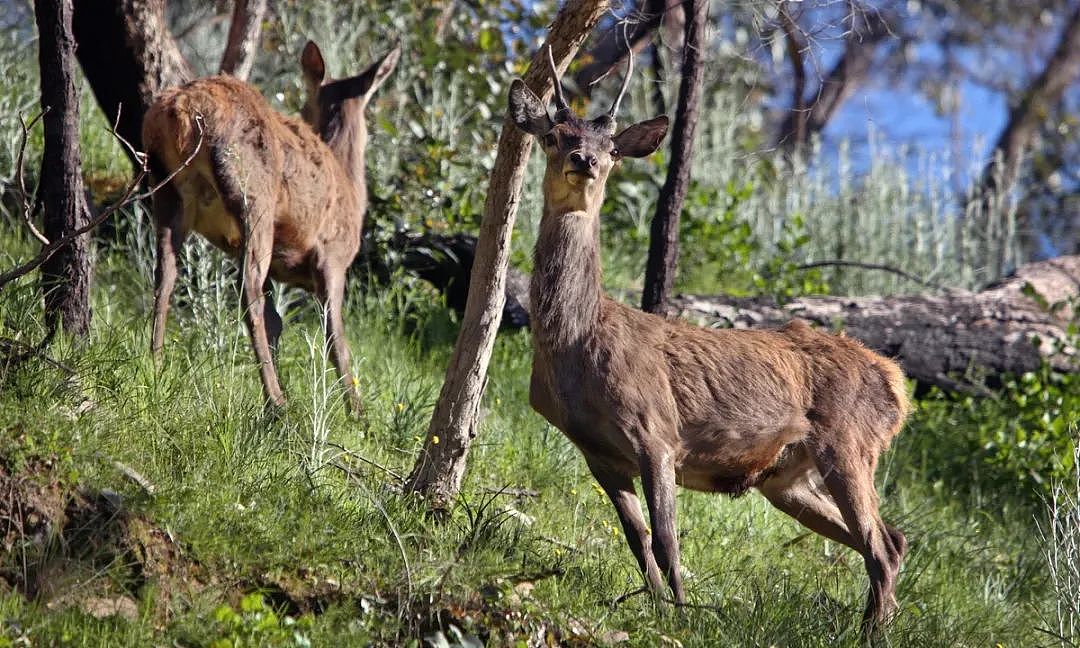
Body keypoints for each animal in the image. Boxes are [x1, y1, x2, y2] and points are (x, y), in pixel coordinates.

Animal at [141, 41, 399, 414]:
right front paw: (357, 411)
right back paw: (276, 402)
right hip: (254, 197)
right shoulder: (333, 257)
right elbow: (335, 334)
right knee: (246, 289)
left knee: (165, 275)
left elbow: (277, 321)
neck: (352, 186)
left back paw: (156, 364)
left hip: (166, 191)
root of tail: (183, 110)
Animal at [507, 49, 911, 630]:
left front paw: (681, 616)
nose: (585, 160)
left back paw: (870, 631)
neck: (578, 346)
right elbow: (638, 540)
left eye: (613, 150)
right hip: (787, 479)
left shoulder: (655, 430)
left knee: (879, 544)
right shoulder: (596, 451)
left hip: (850, 441)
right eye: (556, 134)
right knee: (892, 540)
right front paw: (655, 607)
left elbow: (668, 540)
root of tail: (897, 383)